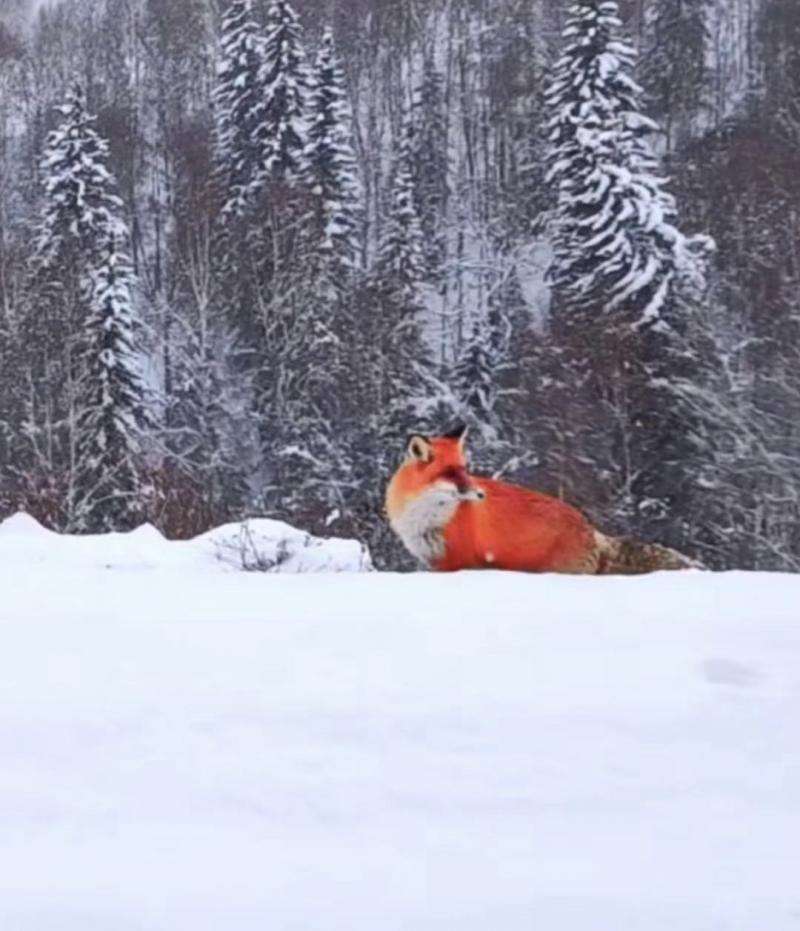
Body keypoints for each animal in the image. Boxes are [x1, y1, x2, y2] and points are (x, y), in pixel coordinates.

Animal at [384, 426, 696, 572]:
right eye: (449, 473)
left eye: (465, 470)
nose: (480, 494)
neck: (424, 517)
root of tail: (591, 530)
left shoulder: (458, 562)